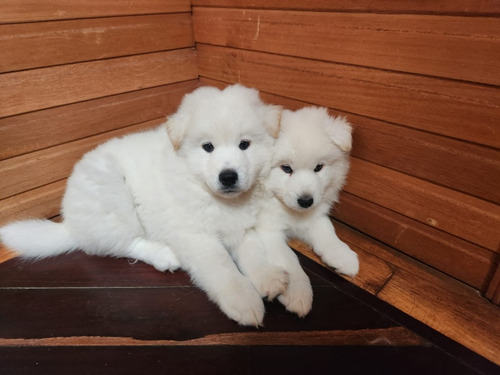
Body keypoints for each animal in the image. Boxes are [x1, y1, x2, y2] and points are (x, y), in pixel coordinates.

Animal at [0, 84, 282, 326]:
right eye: (208, 147)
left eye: (244, 145)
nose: (228, 176)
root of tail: (70, 221)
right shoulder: (195, 236)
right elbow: (222, 266)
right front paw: (243, 301)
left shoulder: (241, 227)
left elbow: (254, 254)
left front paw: (270, 278)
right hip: (113, 198)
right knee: (123, 243)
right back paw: (164, 255)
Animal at [234, 106, 360, 318]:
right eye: (286, 168)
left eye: (319, 167)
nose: (306, 201)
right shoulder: (269, 230)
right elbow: (289, 260)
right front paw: (298, 292)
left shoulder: (316, 215)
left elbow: (328, 232)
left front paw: (343, 255)